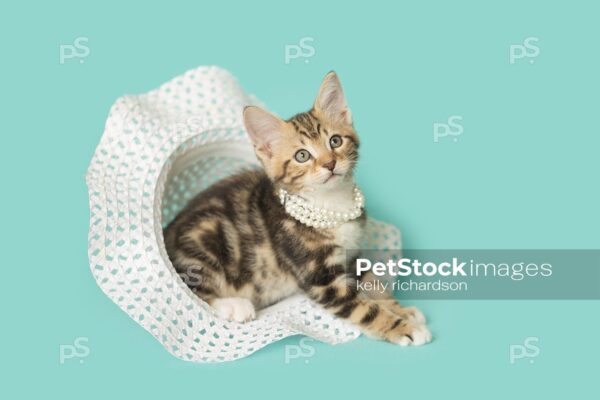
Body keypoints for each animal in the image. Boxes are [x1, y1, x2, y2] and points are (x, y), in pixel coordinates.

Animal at [163, 72, 432, 346]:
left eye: (335, 141)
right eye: (302, 156)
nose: (330, 164)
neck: (331, 202)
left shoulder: (352, 256)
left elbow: (373, 284)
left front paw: (402, 310)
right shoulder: (320, 277)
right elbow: (363, 308)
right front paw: (401, 327)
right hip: (204, 236)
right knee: (189, 288)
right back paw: (234, 306)